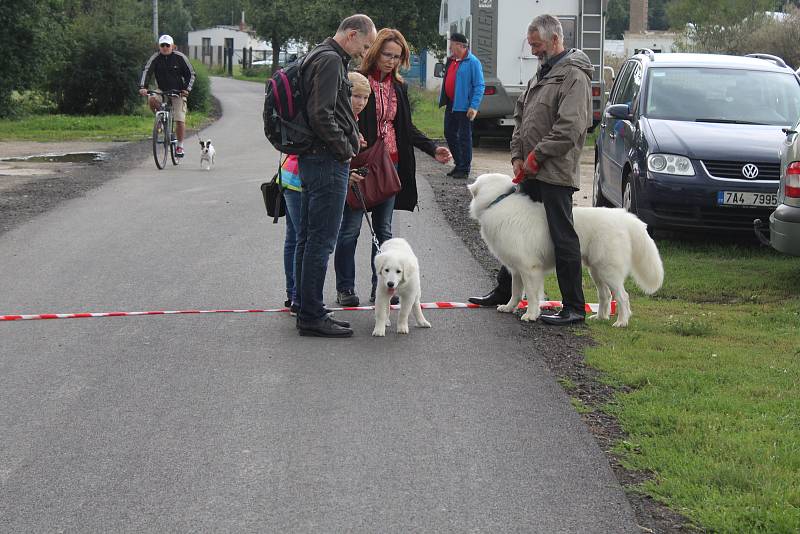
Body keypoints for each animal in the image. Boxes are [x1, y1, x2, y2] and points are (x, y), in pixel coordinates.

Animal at [468, 174, 664, 328]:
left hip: (609, 270)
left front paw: (530, 315)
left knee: (623, 296)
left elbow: (531, 295)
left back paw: (621, 322)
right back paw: (600, 317)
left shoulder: (529, 268)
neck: (498, 202)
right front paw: (509, 307)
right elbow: (515, 292)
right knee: (606, 295)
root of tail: (624, 217)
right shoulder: (517, 269)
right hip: (596, 270)